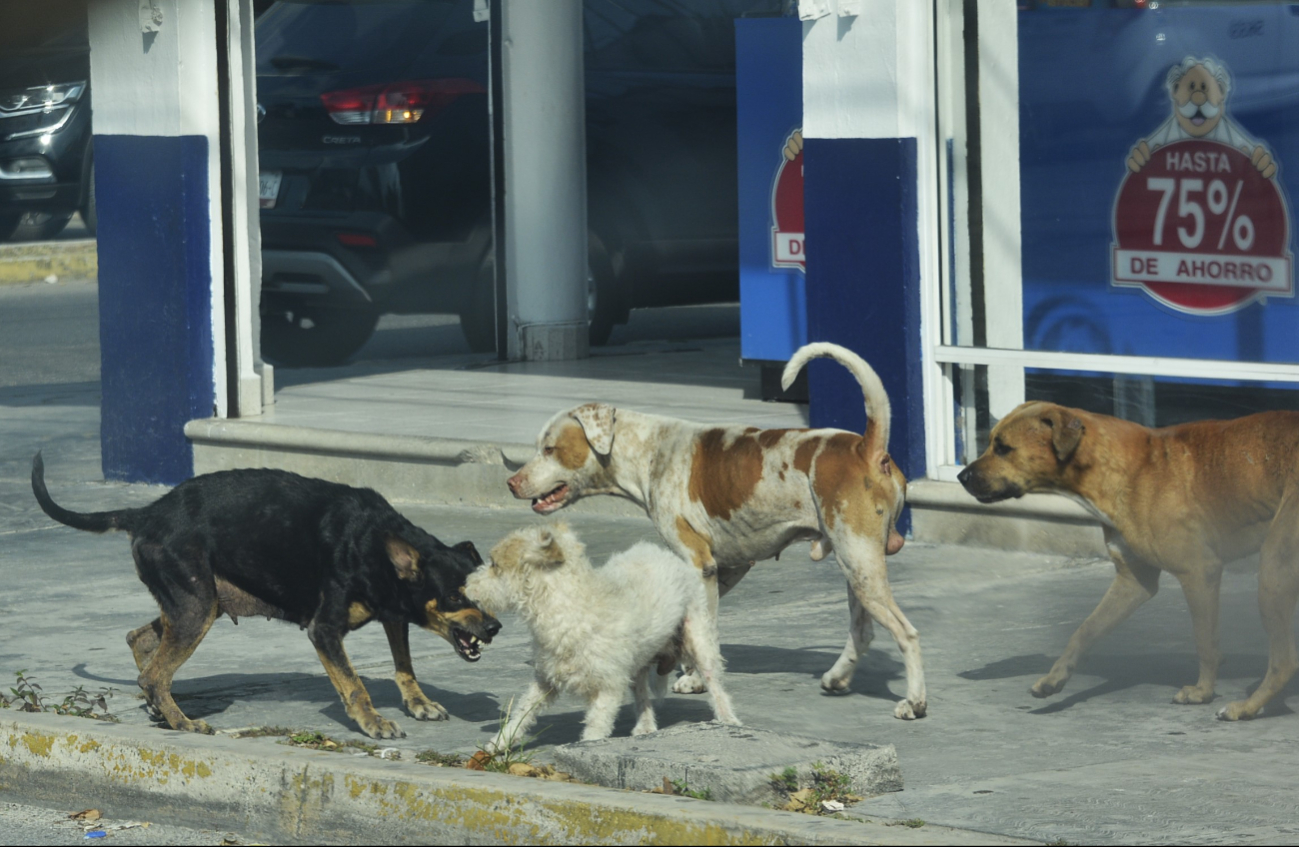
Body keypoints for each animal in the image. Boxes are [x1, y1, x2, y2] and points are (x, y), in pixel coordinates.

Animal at [31, 452, 496, 737]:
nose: (494, 628)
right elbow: (354, 684)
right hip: (196, 608)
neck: (374, 543)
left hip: (194, 604)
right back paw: (183, 723)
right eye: (455, 598)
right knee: (154, 674)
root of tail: (145, 513)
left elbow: (405, 667)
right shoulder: (324, 630)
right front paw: (373, 722)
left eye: (485, 595)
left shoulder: (394, 615)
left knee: (140, 641)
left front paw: (419, 704)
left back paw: (160, 709)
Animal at [467, 524, 737, 753]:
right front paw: (501, 742)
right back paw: (645, 727)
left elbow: (596, 728)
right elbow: (523, 712)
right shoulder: (546, 679)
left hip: (698, 637)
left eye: (494, 565)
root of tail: (664, 554)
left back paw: (728, 720)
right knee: (641, 690)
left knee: (714, 683)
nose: (466, 587)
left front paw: (587, 749)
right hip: (637, 659)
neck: (569, 606)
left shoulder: (607, 689)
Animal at [501, 340, 919, 717]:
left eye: (550, 449)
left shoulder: (697, 564)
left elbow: (703, 633)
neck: (648, 452)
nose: (511, 482)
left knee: (907, 634)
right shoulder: (726, 567)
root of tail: (866, 447)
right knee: (862, 631)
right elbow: (698, 627)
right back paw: (838, 677)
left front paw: (697, 678)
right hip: (855, 567)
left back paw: (915, 701)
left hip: (860, 563)